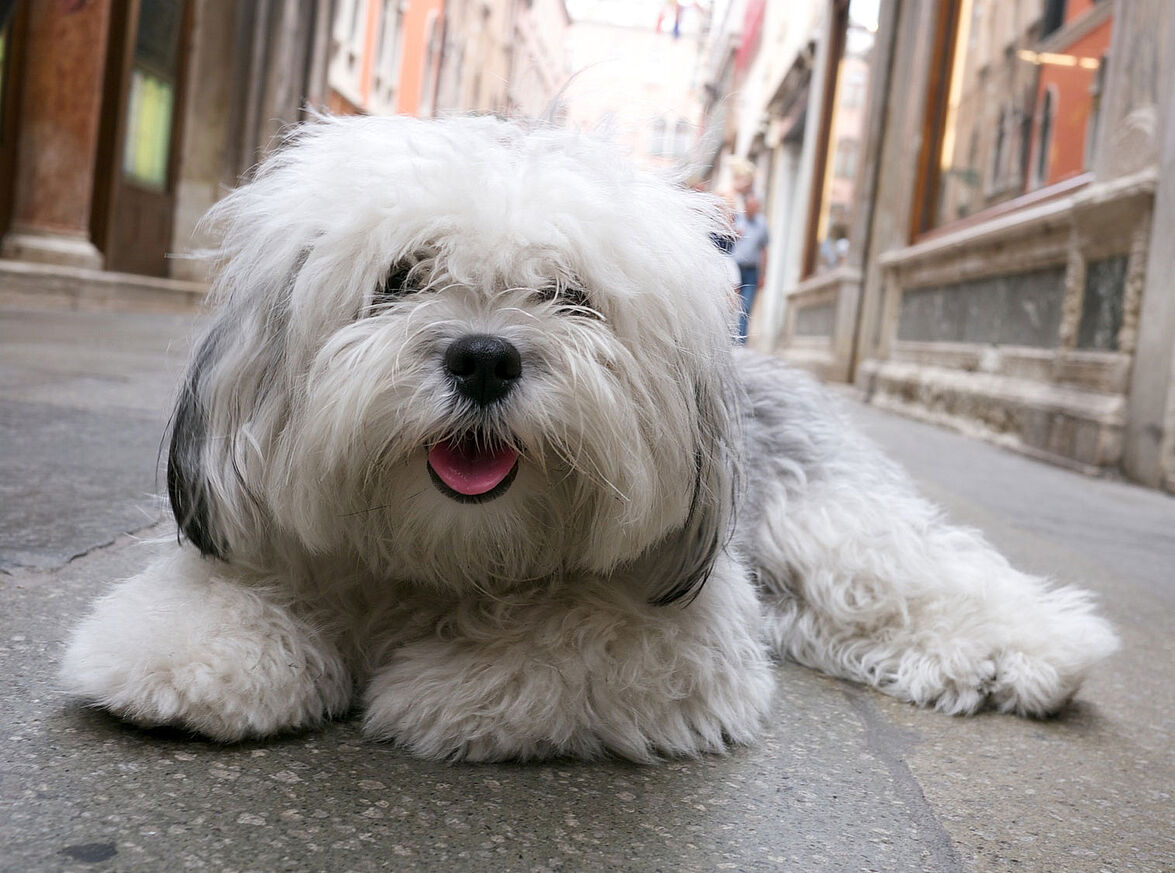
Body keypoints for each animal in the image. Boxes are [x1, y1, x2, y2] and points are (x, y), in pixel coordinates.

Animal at [61, 118, 1118, 766]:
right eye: (400, 276)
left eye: (568, 293)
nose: (484, 358)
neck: (447, 559)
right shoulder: (264, 535)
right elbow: (216, 603)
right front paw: (198, 661)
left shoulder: (681, 640)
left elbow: (572, 642)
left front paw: (444, 688)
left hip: (826, 521)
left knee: (914, 575)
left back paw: (1028, 651)